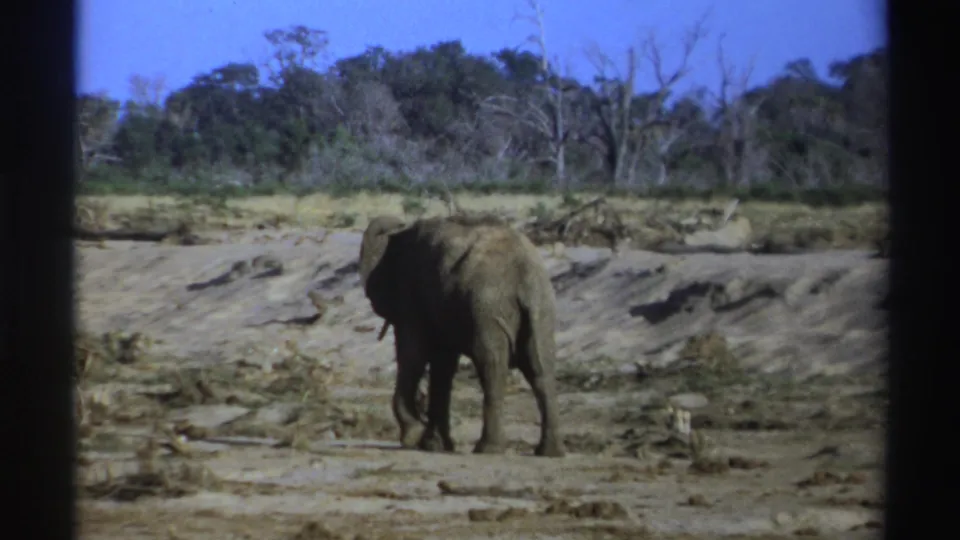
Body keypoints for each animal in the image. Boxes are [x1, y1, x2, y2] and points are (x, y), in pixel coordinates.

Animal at [358, 214, 565, 457]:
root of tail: (525, 275)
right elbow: (443, 364)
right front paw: (435, 445)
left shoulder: (411, 296)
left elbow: (414, 355)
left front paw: (414, 436)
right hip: (541, 309)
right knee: (541, 368)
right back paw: (549, 452)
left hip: (487, 309)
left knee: (491, 367)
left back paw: (488, 449)